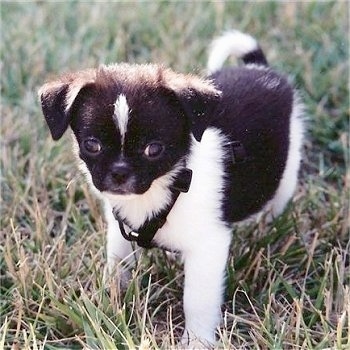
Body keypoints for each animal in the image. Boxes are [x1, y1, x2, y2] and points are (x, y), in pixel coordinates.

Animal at [38, 30, 304, 348]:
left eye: (154, 150)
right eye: (92, 145)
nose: (119, 173)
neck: (168, 186)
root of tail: (260, 68)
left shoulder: (208, 247)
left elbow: (196, 302)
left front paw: (197, 341)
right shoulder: (120, 231)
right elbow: (117, 267)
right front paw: (108, 305)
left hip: (288, 166)